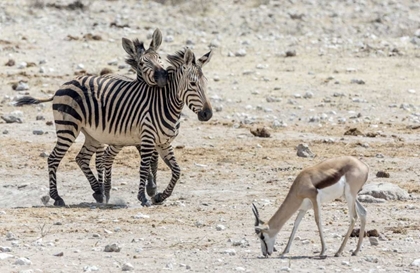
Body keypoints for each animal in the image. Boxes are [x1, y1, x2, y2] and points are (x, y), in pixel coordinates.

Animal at [15, 47, 213, 206]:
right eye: (193, 84)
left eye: (206, 84)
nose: (207, 114)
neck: (166, 104)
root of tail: (64, 84)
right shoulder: (148, 139)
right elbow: (144, 168)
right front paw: (143, 197)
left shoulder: (164, 142)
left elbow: (177, 171)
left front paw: (160, 197)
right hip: (68, 128)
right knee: (53, 158)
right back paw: (57, 197)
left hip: (92, 135)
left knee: (82, 158)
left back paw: (99, 192)